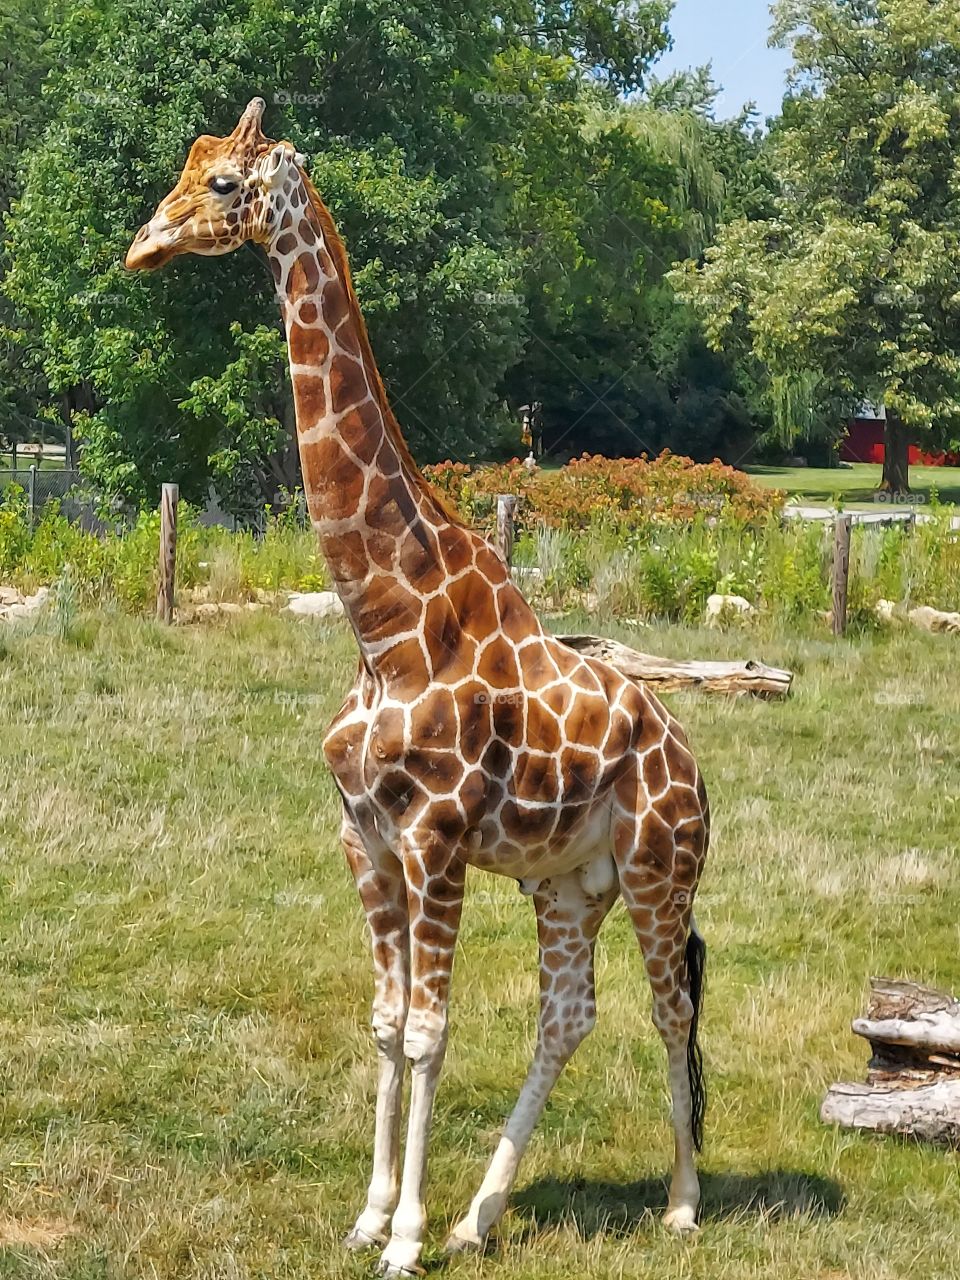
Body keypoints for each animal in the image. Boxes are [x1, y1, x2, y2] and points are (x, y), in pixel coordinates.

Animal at [126, 98, 710, 1277]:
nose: (141, 246)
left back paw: (680, 1202)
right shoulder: (363, 836)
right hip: (567, 881)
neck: (383, 622)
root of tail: (697, 769)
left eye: (223, 186)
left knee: (669, 1013)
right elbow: (389, 1024)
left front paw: (400, 1239)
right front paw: (371, 1214)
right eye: (185, 169)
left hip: (659, 873)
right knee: (568, 1016)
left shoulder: (435, 839)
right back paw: (480, 1215)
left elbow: (435, 1030)